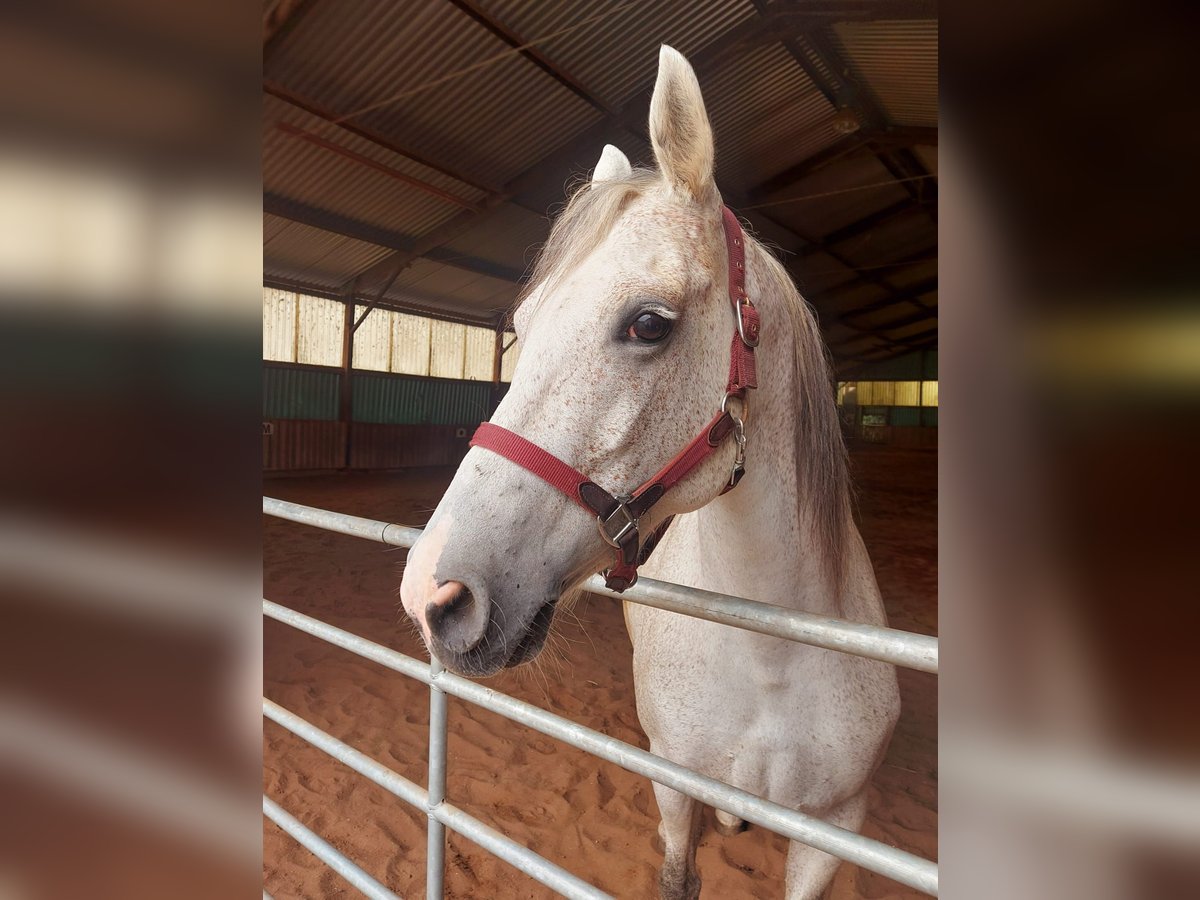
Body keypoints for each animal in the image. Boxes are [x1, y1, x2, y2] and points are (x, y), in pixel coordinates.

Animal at [403, 47, 902, 900]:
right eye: (522, 326)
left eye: (648, 323)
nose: (432, 590)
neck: (772, 658)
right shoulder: (674, 785)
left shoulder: (835, 829)